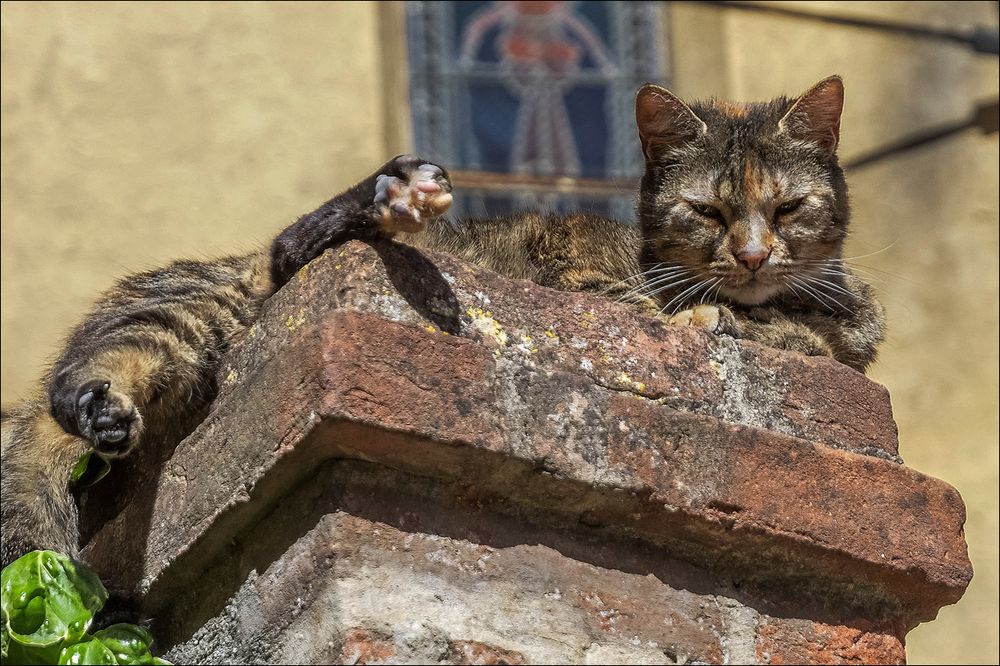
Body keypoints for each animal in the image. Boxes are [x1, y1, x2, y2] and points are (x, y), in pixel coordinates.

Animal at [0, 75, 884, 568]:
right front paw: (744, 322)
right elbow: (722, 320)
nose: (753, 254)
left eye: (788, 207)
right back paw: (391, 199)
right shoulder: (593, 284)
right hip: (199, 304)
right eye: (707, 211)